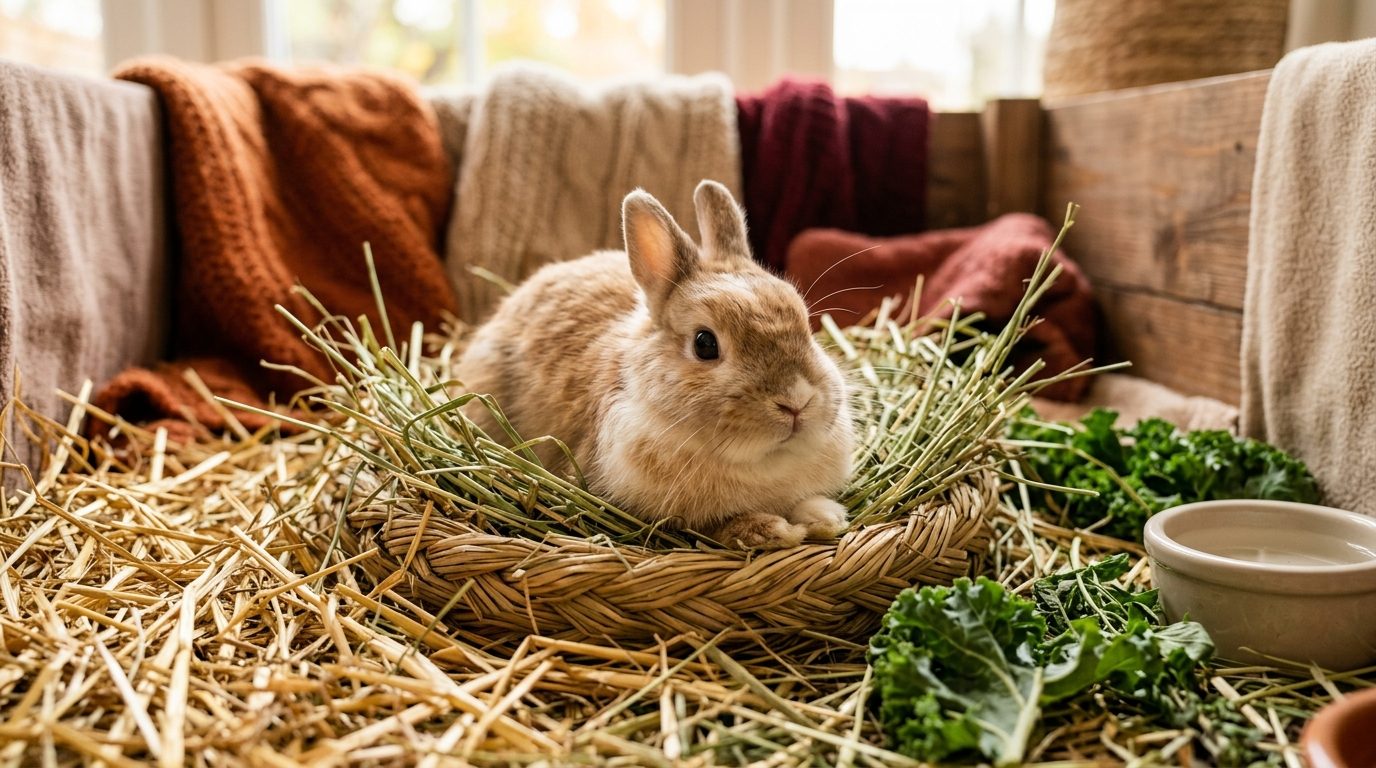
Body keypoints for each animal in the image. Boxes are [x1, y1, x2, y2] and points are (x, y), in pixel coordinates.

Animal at [456, 180, 854, 549]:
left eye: (806, 325)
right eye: (704, 344)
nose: (796, 403)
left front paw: (825, 517)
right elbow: (710, 528)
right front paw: (774, 530)